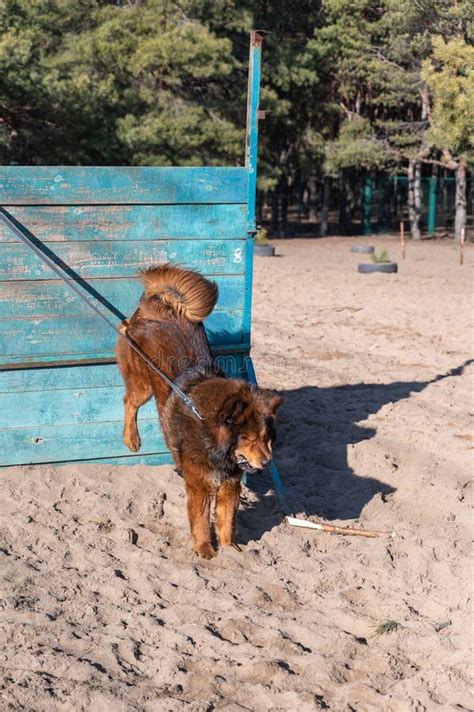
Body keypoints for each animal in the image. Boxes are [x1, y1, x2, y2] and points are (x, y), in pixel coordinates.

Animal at [116, 264, 282, 560]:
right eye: (248, 439)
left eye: (266, 439)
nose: (266, 463)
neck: (212, 437)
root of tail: (157, 304)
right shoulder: (200, 486)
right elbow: (203, 521)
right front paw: (205, 550)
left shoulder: (229, 487)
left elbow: (226, 522)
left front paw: (230, 549)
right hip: (143, 383)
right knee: (129, 400)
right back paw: (131, 438)